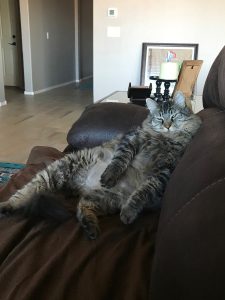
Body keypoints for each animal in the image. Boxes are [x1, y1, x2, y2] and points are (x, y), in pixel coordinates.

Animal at [0, 91, 201, 239]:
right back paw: (6, 207)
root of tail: (81, 186)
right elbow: (118, 162)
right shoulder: (131, 140)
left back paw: (91, 228)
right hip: (55, 172)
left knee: (81, 207)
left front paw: (129, 213)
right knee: (25, 191)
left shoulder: (164, 170)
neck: (164, 139)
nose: (168, 126)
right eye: (160, 119)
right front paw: (109, 176)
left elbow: (142, 192)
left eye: (173, 116)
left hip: (105, 198)